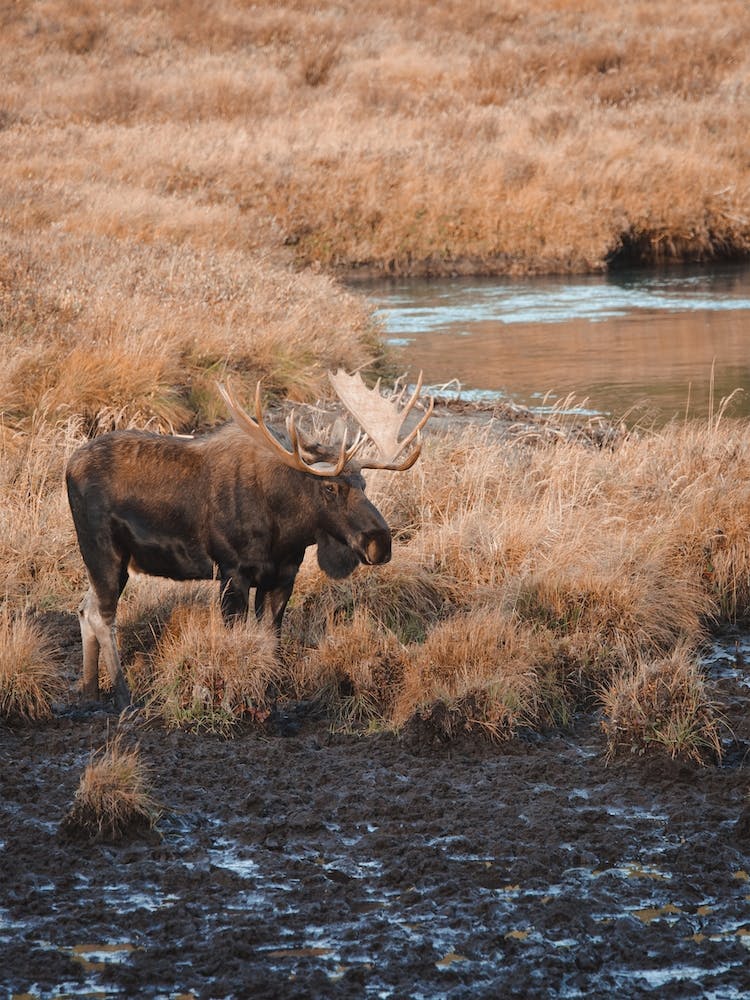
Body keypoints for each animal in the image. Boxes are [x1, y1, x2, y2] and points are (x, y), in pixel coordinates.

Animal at [65, 371, 433, 708]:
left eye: (364, 484)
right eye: (330, 488)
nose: (380, 541)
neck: (283, 529)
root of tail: (69, 466)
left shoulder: (283, 577)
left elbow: (271, 642)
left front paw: (271, 697)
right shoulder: (232, 573)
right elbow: (237, 643)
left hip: (117, 562)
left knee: (85, 608)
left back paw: (89, 690)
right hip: (103, 552)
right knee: (102, 616)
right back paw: (122, 694)